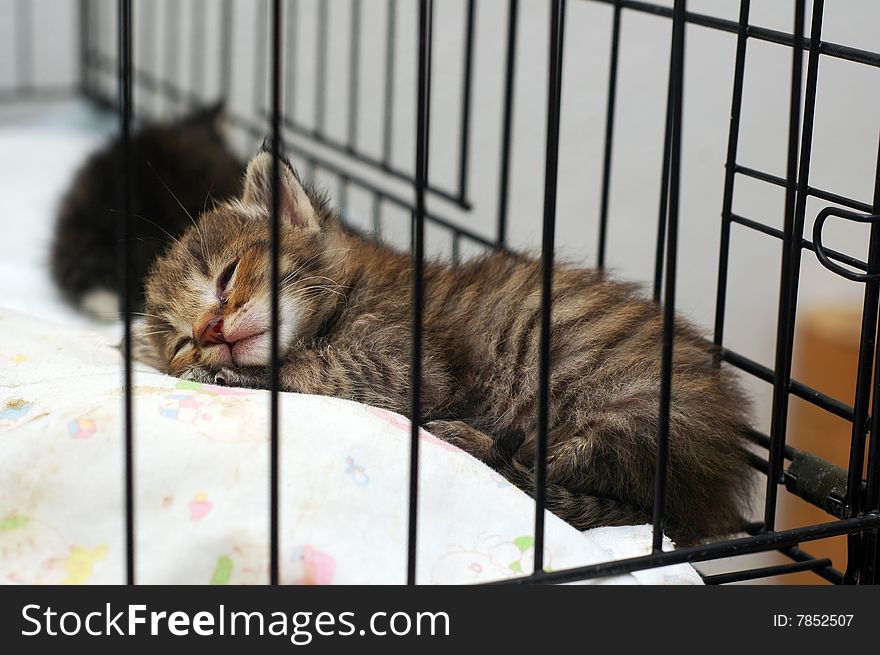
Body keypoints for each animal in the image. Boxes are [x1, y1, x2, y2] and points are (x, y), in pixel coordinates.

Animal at [141, 146, 752, 544]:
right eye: (180, 340)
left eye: (227, 276)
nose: (208, 333)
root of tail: (715, 490)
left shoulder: (405, 364)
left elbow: (315, 372)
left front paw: (237, 375)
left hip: (624, 409)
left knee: (545, 474)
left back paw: (468, 441)